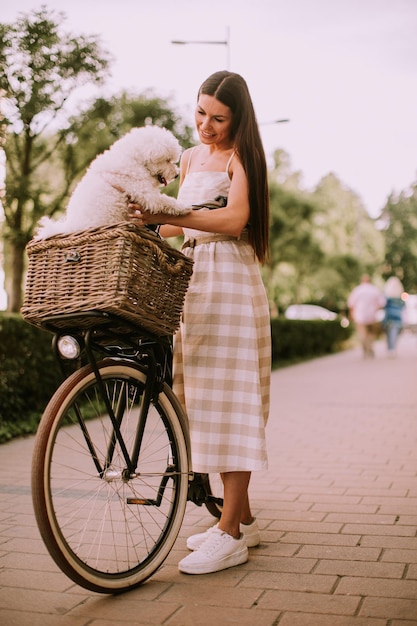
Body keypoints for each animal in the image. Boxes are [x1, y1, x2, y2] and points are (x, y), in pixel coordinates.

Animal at [36, 124, 190, 236]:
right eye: (168, 160)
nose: (176, 174)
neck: (136, 159)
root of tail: (70, 227)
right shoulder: (144, 192)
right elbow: (166, 201)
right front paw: (184, 207)